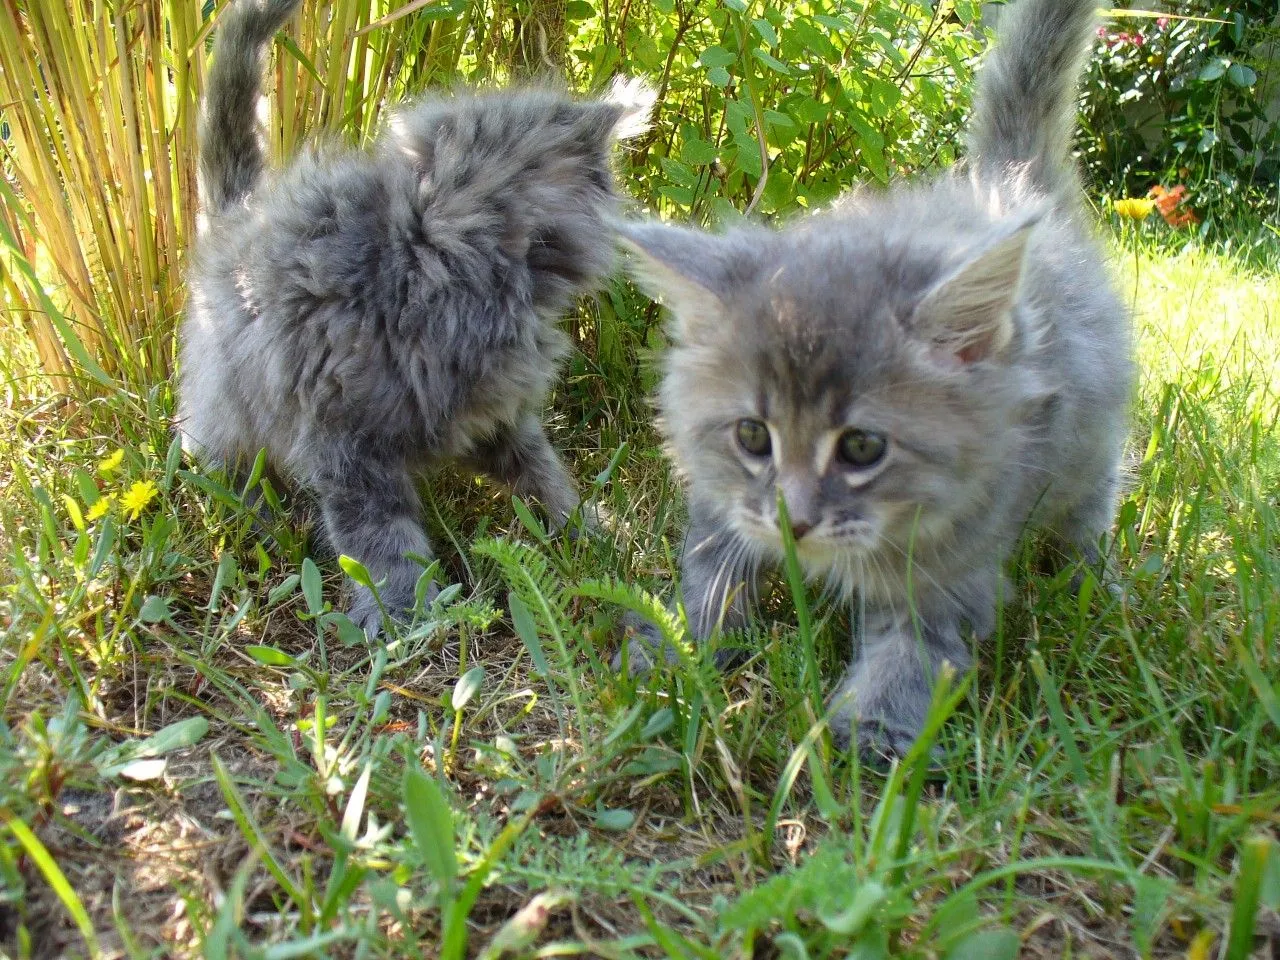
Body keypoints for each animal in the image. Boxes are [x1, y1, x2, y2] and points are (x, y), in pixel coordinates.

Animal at [177, 0, 650, 634]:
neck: (429, 258)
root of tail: (241, 213)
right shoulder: (346, 447)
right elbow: (381, 539)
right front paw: (405, 617)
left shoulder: (496, 415)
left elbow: (543, 476)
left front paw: (587, 532)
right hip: (228, 408)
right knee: (219, 461)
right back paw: (258, 518)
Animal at [619, 0, 1131, 757]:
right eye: (752, 435)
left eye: (863, 448)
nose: (793, 522)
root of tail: (1005, 186)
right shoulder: (721, 504)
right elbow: (711, 577)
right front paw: (675, 651)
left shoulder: (953, 563)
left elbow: (910, 651)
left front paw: (869, 735)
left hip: (1088, 450)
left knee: (1090, 507)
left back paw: (1091, 584)